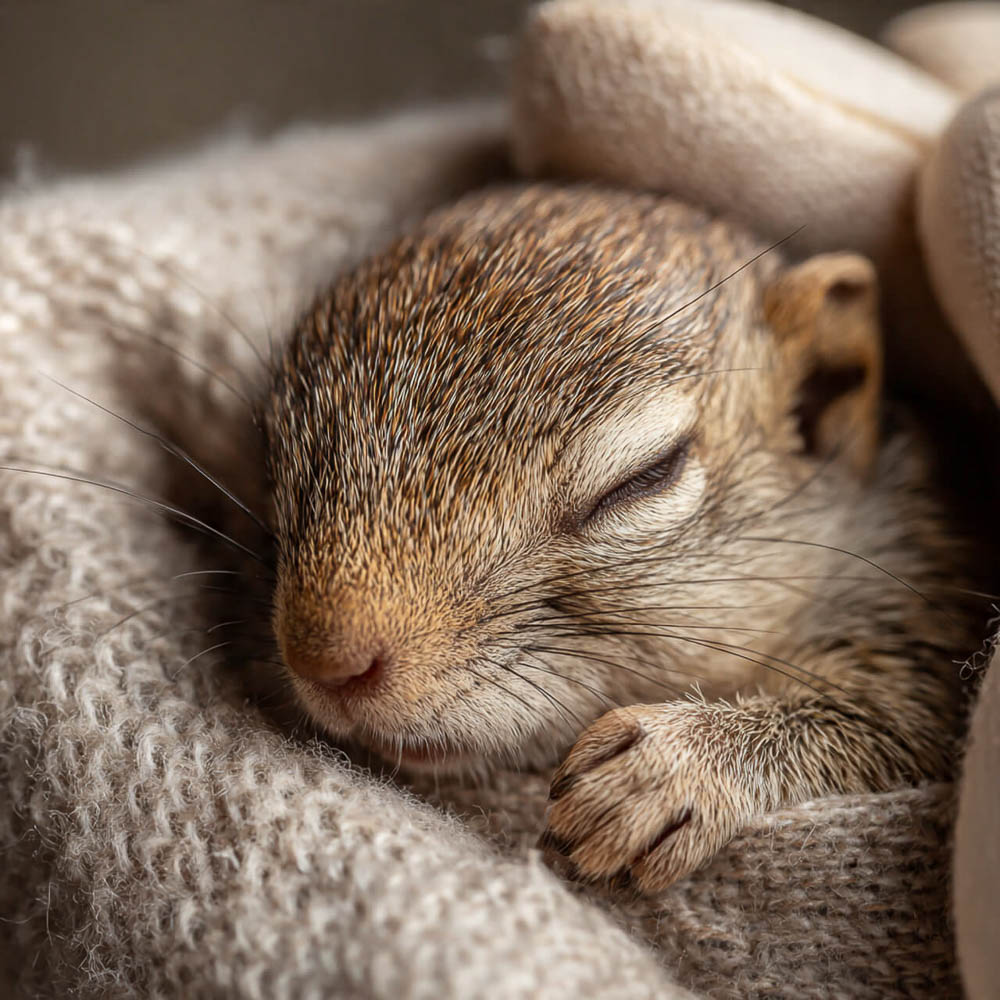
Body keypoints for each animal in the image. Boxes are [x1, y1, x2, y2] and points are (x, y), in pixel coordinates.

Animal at [261, 182, 987, 892]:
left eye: (647, 474)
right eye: (277, 451)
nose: (326, 662)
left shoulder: (921, 592)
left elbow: (901, 721)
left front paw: (667, 771)